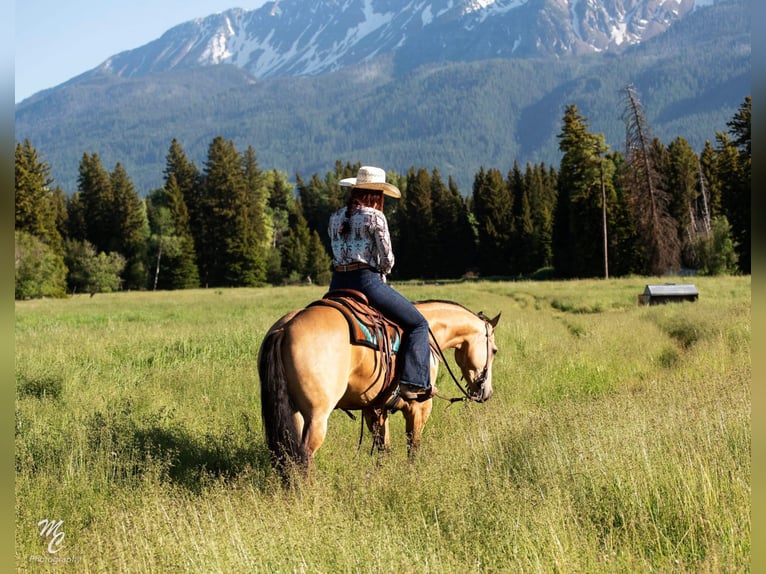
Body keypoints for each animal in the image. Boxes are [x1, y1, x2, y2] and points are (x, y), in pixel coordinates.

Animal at [258, 290, 500, 480]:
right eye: (495, 350)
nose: (486, 393)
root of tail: (285, 328)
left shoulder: (374, 408)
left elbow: (384, 449)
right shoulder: (419, 407)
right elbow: (413, 447)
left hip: (294, 413)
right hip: (316, 416)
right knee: (304, 457)